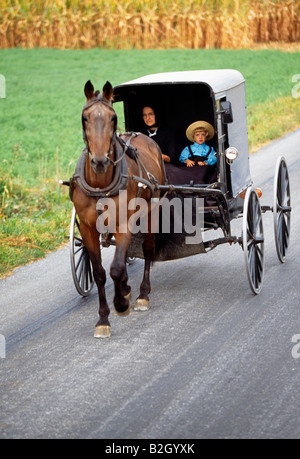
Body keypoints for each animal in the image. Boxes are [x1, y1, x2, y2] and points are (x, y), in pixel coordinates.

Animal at [71, 80, 165, 338]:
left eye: (113, 117)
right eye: (85, 117)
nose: (100, 161)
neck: (100, 185)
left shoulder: (124, 224)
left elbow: (116, 267)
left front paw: (121, 304)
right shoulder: (87, 228)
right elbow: (100, 273)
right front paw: (103, 319)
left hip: (151, 212)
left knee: (148, 250)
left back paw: (142, 294)